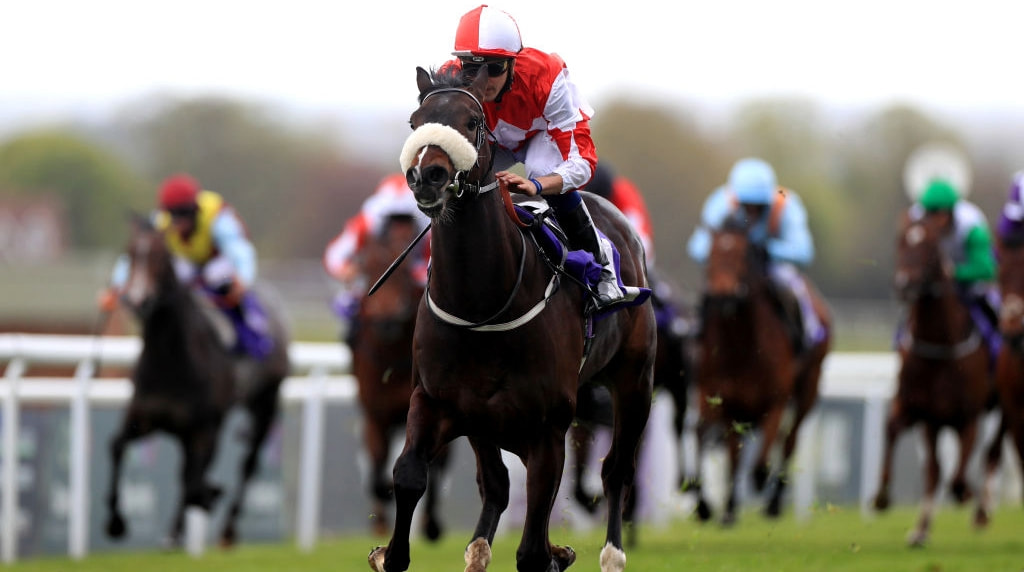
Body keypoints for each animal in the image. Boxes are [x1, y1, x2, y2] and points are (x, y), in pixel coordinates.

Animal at [106, 213, 290, 544]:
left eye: (159, 257)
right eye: (129, 253)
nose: (138, 300)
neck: (171, 362)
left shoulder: (204, 427)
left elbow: (195, 482)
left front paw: (209, 494)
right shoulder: (144, 417)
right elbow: (116, 446)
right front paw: (115, 521)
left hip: (264, 402)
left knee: (248, 463)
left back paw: (227, 528)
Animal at [352, 214, 448, 540]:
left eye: (406, 270)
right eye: (364, 266)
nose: (386, 321)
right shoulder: (375, 415)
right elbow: (375, 467)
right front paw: (382, 506)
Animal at [368, 64, 655, 568]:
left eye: (471, 122)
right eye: (414, 121)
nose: (427, 175)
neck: (482, 306)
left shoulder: (548, 429)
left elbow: (532, 549)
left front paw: (555, 552)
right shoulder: (436, 401)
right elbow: (408, 475)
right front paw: (390, 554)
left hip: (634, 380)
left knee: (616, 470)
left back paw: (612, 554)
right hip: (484, 422)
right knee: (497, 486)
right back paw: (480, 549)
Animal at [688, 215, 831, 528]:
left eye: (743, 255)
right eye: (711, 255)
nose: (723, 296)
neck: (742, 346)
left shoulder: (775, 400)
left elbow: (763, 457)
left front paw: (758, 481)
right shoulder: (722, 398)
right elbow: (723, 449)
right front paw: (718, 508)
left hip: (808, 389)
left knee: (788, 441)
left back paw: (774, 503)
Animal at [876, 210, 1003, 544]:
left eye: (931, 246)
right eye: (900, 240)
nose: (905, 284)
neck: (940, 346)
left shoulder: (967, 417)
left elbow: (958, 476)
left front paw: (965, 494)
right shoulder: (922, 412)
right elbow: (896, 434)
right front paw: (884, 498)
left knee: (993, 452)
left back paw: (982, 511)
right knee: (938, 470)